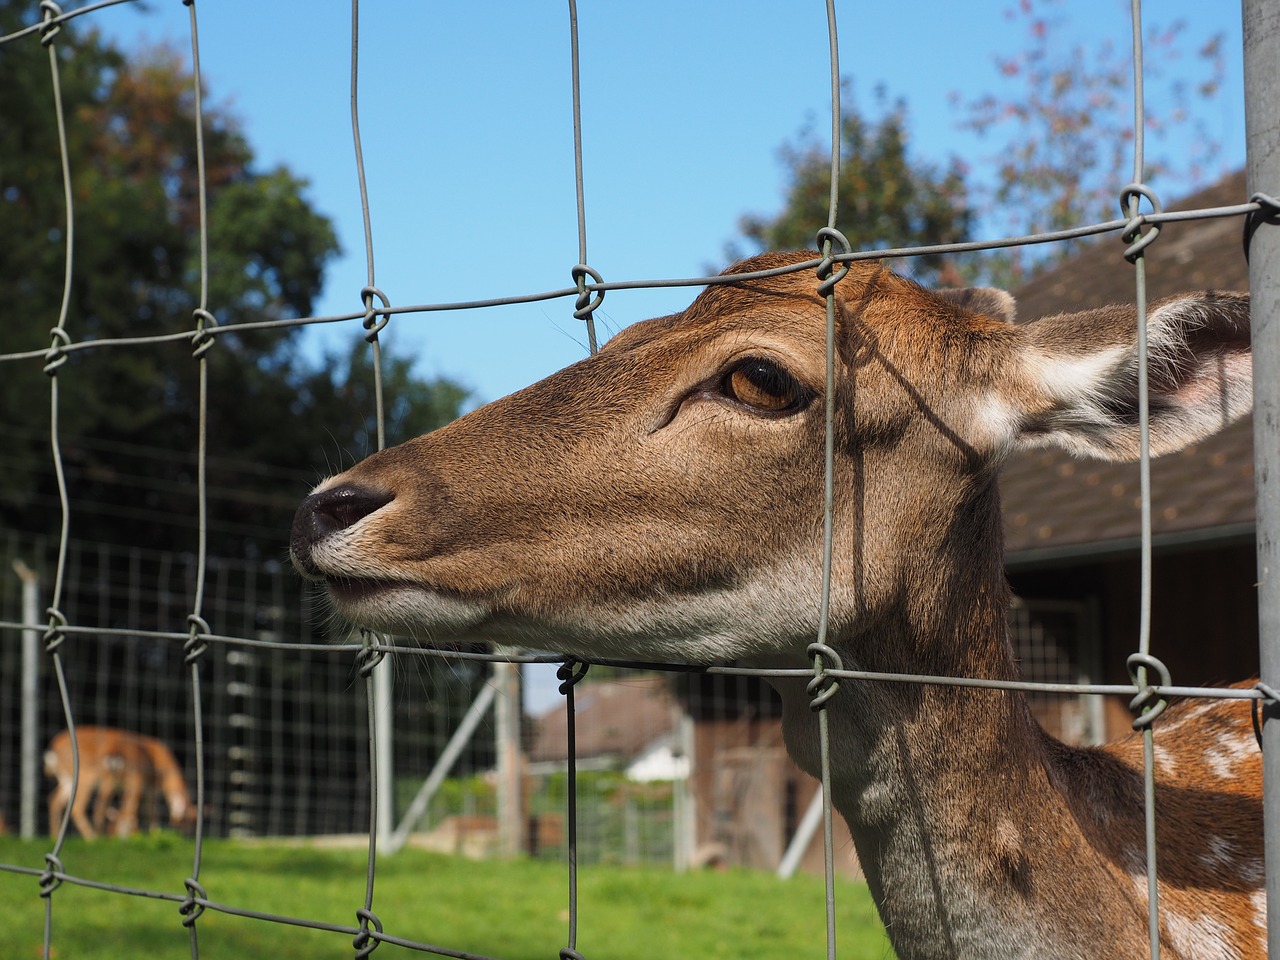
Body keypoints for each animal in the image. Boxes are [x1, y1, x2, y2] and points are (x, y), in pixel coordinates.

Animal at [46, 727, 194, 839]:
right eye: (185, 821)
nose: (186, 836)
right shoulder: (145, 786)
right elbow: (149, 812)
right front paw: (153, 833)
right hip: (87, 777)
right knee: (81, 806)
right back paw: (93, 838)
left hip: (74, 780)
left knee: (56, 800)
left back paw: (56, 836)